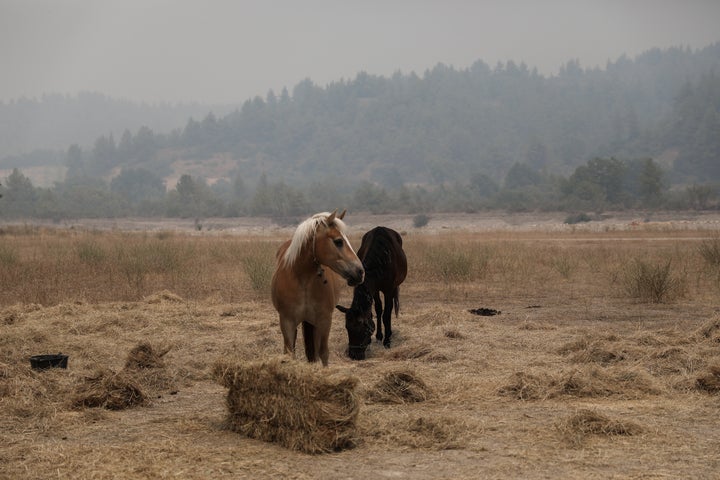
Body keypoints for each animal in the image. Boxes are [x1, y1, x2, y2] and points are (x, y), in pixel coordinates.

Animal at [268, 211, 362, 368]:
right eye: (338, 241)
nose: (360, 272)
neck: (302, 279)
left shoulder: (324, 320)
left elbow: (323, 353)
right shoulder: (287, 321)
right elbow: (290, 353)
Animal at [336, 227, 404, 358]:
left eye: (363, 328)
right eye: (347, 328)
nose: (353, 355)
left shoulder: (388, 290)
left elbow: (386, 314)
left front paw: (387, 341)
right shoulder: (374, 289)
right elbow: (378, 310)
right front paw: (378, 336)